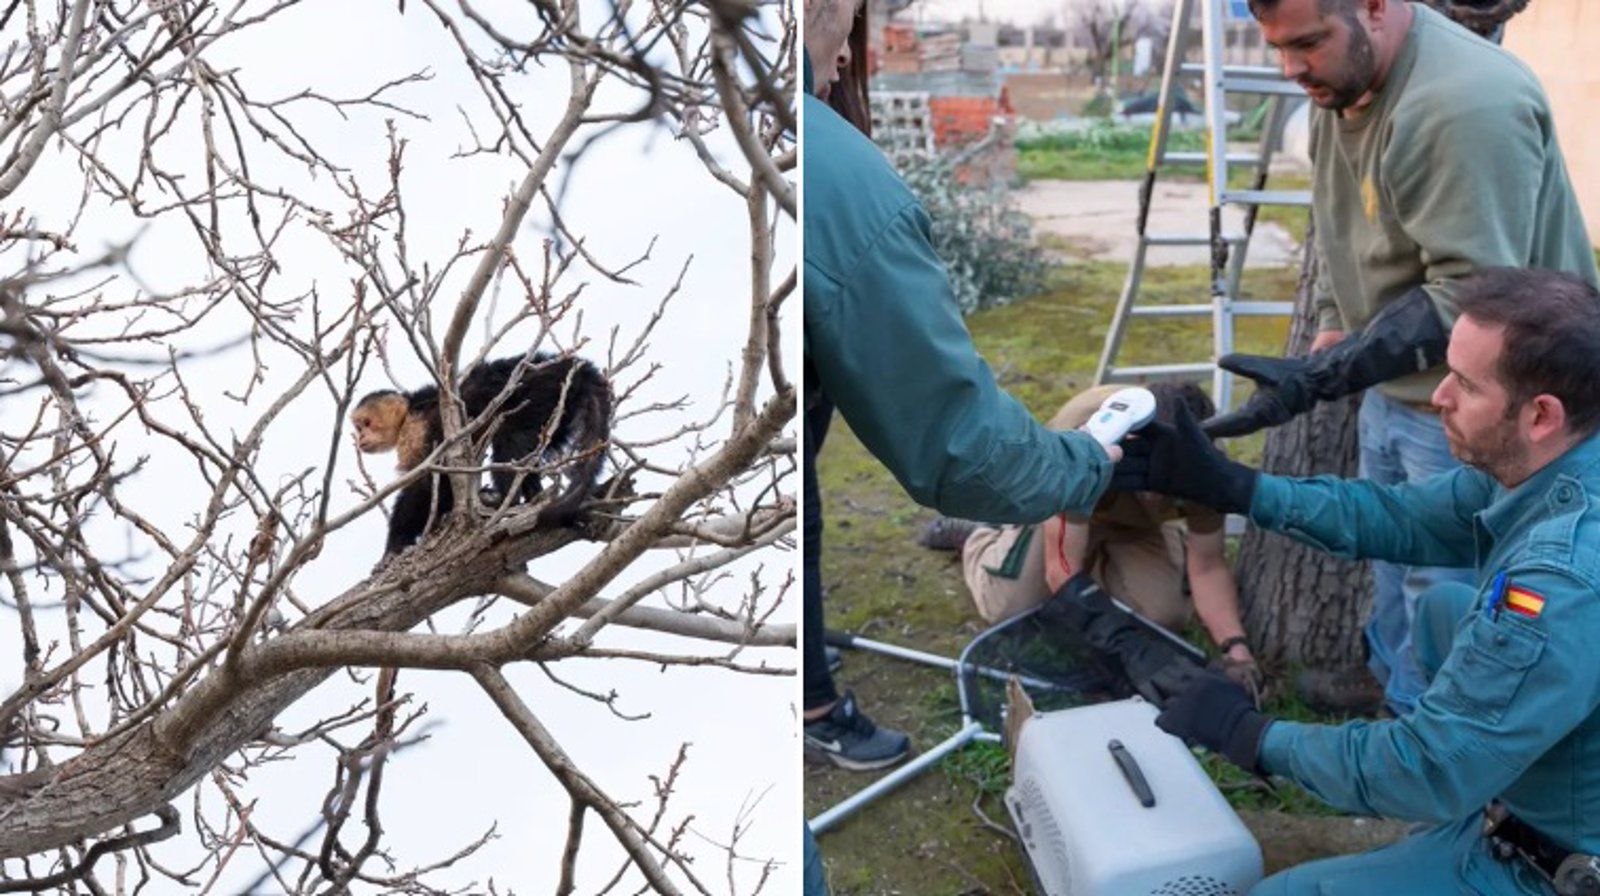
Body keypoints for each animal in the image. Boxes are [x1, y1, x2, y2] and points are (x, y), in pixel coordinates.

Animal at [352, 348, 611, 553]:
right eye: (358, 427)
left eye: (366, 423)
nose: (360, 438)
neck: (409, 413)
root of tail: (568, 366)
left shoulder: (416, 431)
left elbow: (430, 484)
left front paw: (397, 541)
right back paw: (530, 496)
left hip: (541, 392)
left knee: (510, 437)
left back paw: (508, 500)